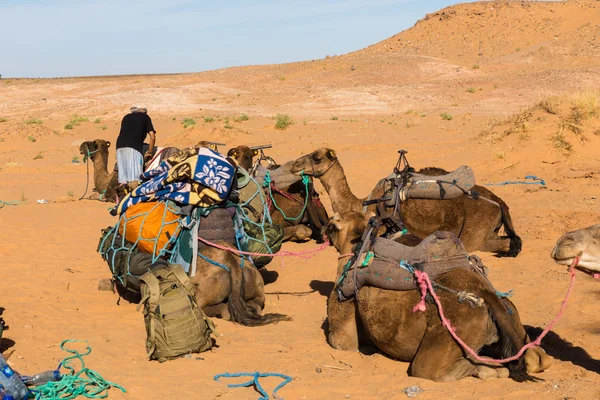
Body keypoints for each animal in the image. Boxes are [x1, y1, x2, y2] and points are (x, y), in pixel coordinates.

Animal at [324, 209, 552, 382]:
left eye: (332, 224)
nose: (323, 230)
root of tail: (486, 295)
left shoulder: (342, 323)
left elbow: (344, 343)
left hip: (451, 332)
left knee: (436, 369)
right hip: (512, 315)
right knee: (536, 357)